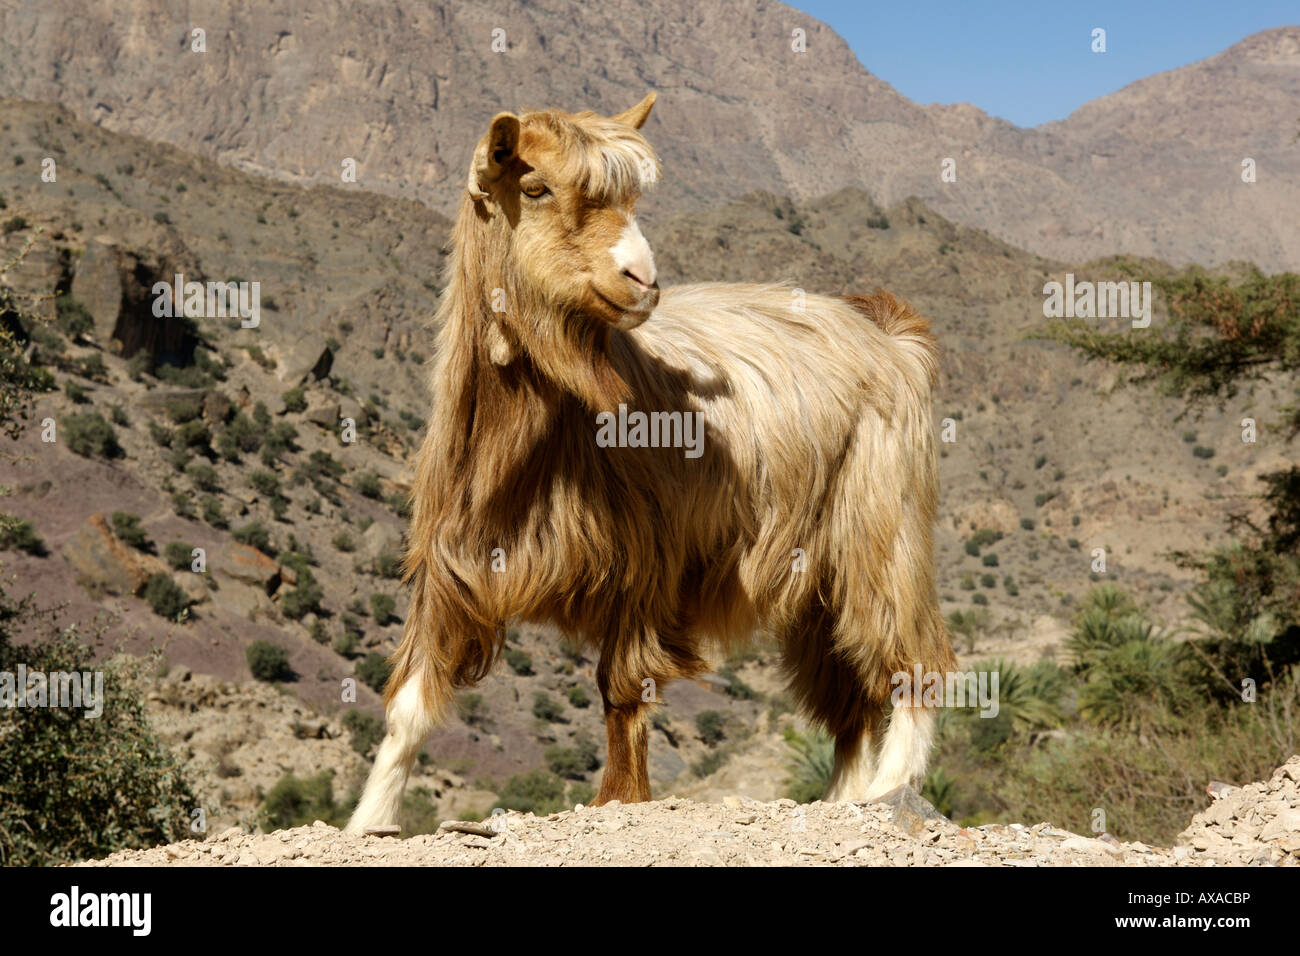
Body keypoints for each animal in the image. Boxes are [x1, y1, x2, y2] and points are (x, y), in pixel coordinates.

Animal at [345, 93, 956, 832]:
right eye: (534, 187)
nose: (643, 277)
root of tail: (889, 334)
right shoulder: (450, 562)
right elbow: (409, 703)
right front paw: (368, 818)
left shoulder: (645, 561)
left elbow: (621, 688)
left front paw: (619, 797)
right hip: (817, 573)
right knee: (849, 696)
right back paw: (841, 796)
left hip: (882, 526)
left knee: (912, 653)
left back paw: (890, 788)